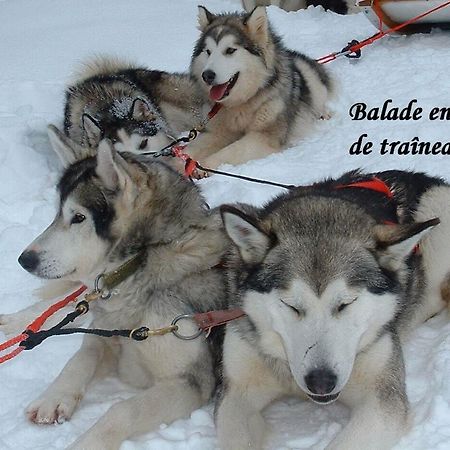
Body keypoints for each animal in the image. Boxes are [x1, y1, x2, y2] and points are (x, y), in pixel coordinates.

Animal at [15, 126, 229, 450]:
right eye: (56, 215)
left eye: (79, 217)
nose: (24, 259)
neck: (142, 262)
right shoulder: (105, 336)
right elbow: (81, 357)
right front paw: (54, 397)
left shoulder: (189, 381)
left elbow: (122, 410)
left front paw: (85, 443)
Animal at [188, 4, 332, 171]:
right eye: (208, 52)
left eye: (230, 50)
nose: (207, 75)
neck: (241, 103)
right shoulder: (218, 131)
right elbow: (192, 148)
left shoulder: (263, 136)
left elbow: (231, 151)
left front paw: (203, 166)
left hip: (309, 78)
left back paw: (325, 113)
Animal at [217, 170, 450, 450]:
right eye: (290, 305)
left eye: (346, 303)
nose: (320, 382)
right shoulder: (236, 392)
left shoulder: (383, 399)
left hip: (438, 206)